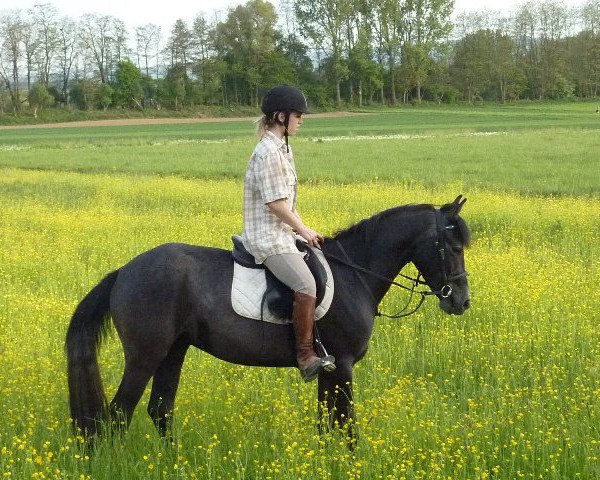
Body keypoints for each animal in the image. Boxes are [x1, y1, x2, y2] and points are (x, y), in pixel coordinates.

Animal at [65, 196, 468, 442]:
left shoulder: (331, 368)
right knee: (118, 415)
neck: (355, 272)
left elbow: (327, 425)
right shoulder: (343, 365)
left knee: (160, 411)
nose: (461, 301)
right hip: (145, 356)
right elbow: (346, 426)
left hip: (173, 351)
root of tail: (124, 272)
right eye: (453, 247)